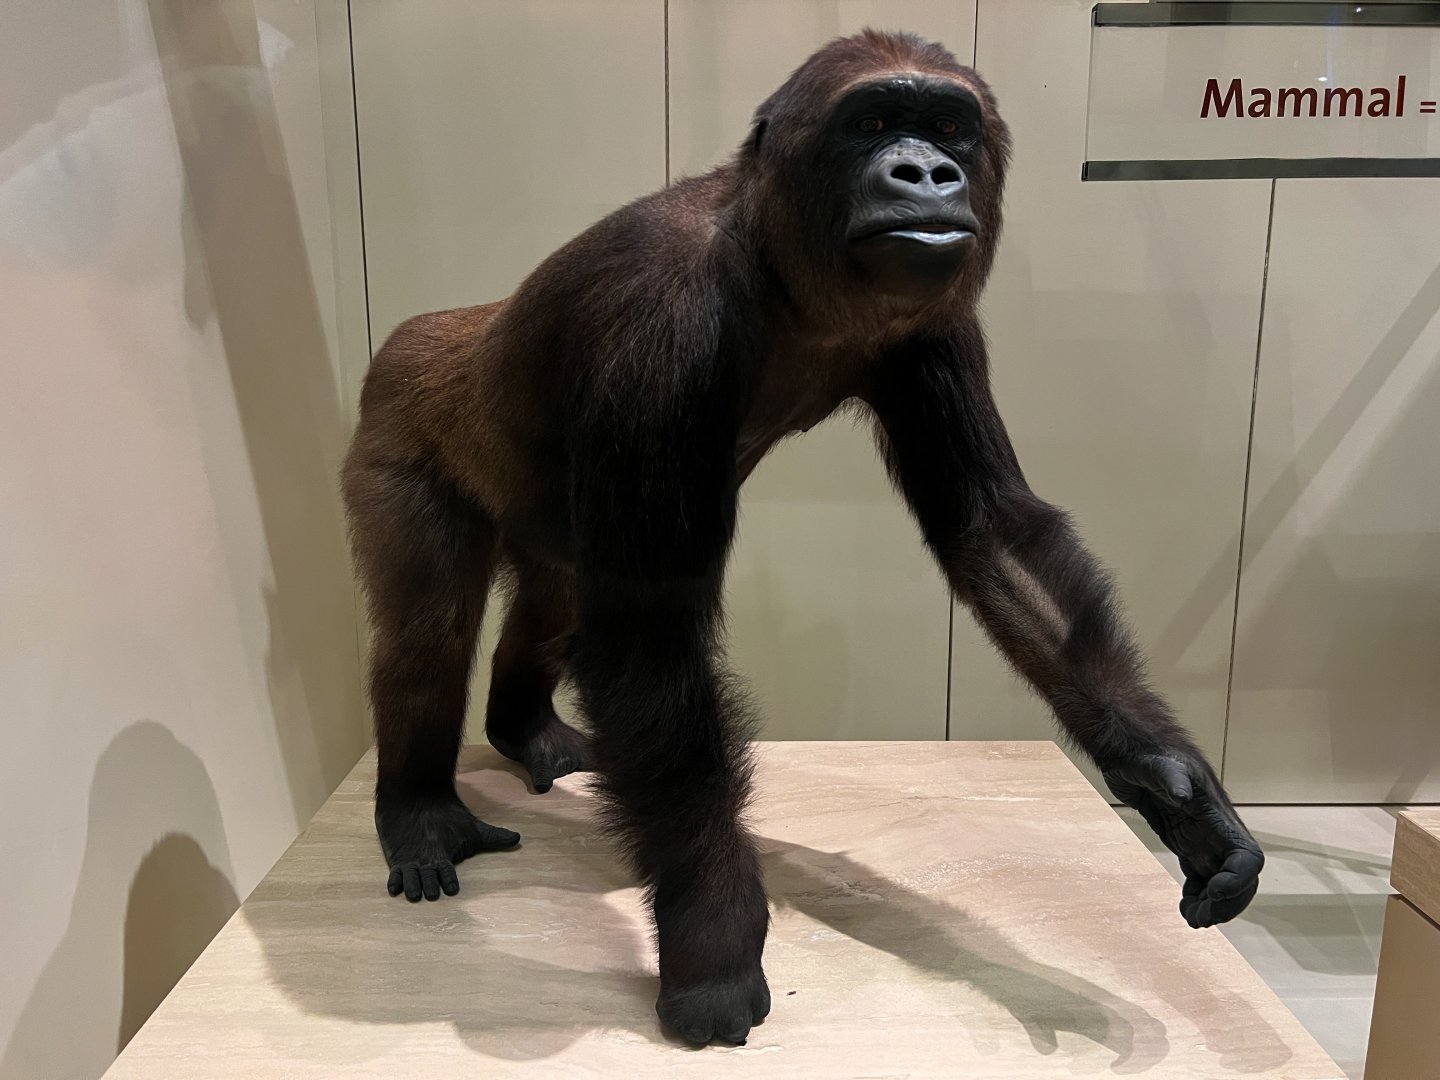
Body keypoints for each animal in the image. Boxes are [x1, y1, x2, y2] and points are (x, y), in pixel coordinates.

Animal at [341, 29, 1265, 1046]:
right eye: (872, 122)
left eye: (949, 127)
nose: (927, 171)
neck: (769, 263)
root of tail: (430, 329)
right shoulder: (662, 324)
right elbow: (651, 648)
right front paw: (711, 938)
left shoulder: (934, 322)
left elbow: (992, 536)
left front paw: (1171, 786)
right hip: (395, 418)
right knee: (429, 631)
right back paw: (421, 809)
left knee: (552, 605)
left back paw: (526, 731)